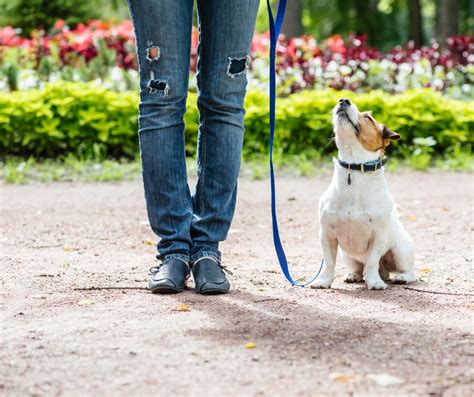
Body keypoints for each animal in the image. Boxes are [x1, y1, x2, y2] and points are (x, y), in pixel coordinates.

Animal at [312, 96, 416, 288]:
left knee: (408, 271)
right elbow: (329, 262)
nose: (344, 100)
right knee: (359, 268)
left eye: (368, 118)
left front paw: (374, 282)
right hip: (348, 256)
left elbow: (373, 261)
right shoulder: (327, 234)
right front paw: (323, 280)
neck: (354, 167)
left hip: (401, 250)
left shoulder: (378, 235)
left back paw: (400, 277)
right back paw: (354, 275)